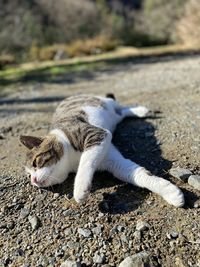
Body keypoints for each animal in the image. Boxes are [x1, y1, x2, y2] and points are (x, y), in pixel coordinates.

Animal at [19, 93, 184, 207]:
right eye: (28, 175)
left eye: (35, 162)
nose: (33, 180)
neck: (71, 161)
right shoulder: (111, 159)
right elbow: (136, 173)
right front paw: (170, 192)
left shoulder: (96, 134)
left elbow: (86, 161)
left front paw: (80, 189)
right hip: (114, 117)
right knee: (121, 113)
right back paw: (140, 112)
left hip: (104, 102)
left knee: (117, 105)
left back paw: (140, 110)